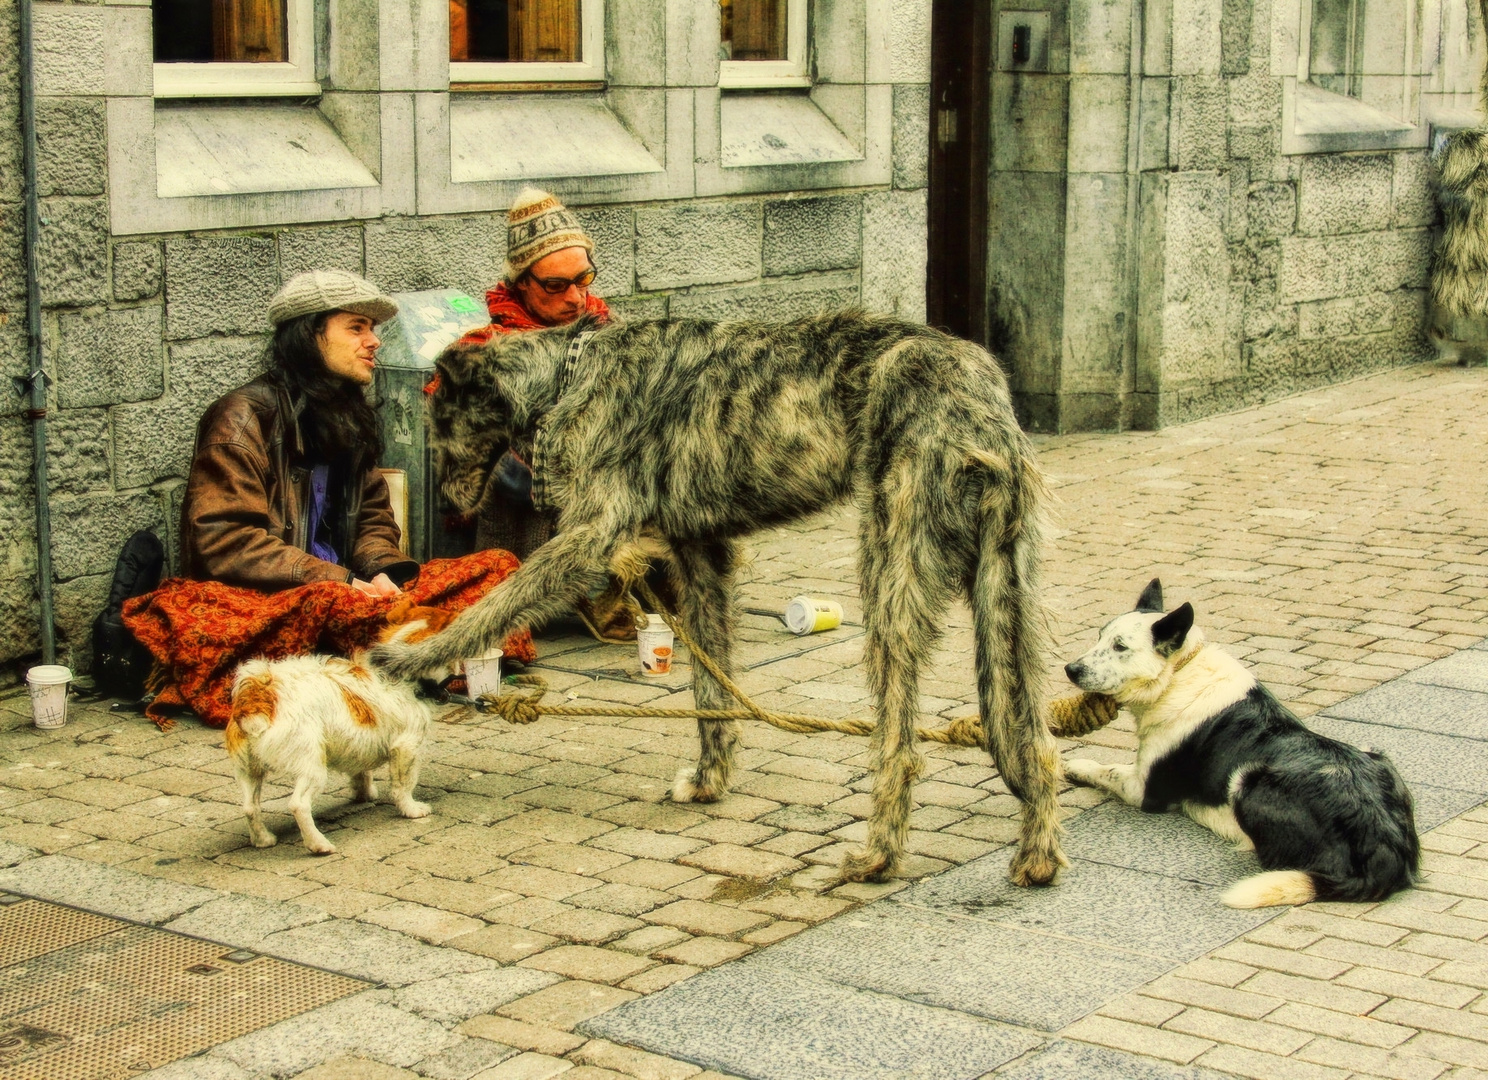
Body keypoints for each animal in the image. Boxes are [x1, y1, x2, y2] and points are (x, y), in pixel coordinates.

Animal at [226, 600, 455, 856]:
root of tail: (258, 696)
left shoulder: (360, 743)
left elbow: (361, 771)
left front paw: (363, 793)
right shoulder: (407, 747)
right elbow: (403, 784)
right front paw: (411, 809)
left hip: (248, 768)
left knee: (249, 806)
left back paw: (263, 839)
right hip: (312, 766)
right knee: (298, 805)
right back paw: (318, 844)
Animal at [1059, 580, 1416, 910]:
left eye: (1120, 647)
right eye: (1100, 636)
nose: (1070, 669)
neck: (1178, 672)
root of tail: (1385, 847)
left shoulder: (1141, 790)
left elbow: (1105, 768)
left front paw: (1075, 766)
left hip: (1247, 781)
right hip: (1375, 755)